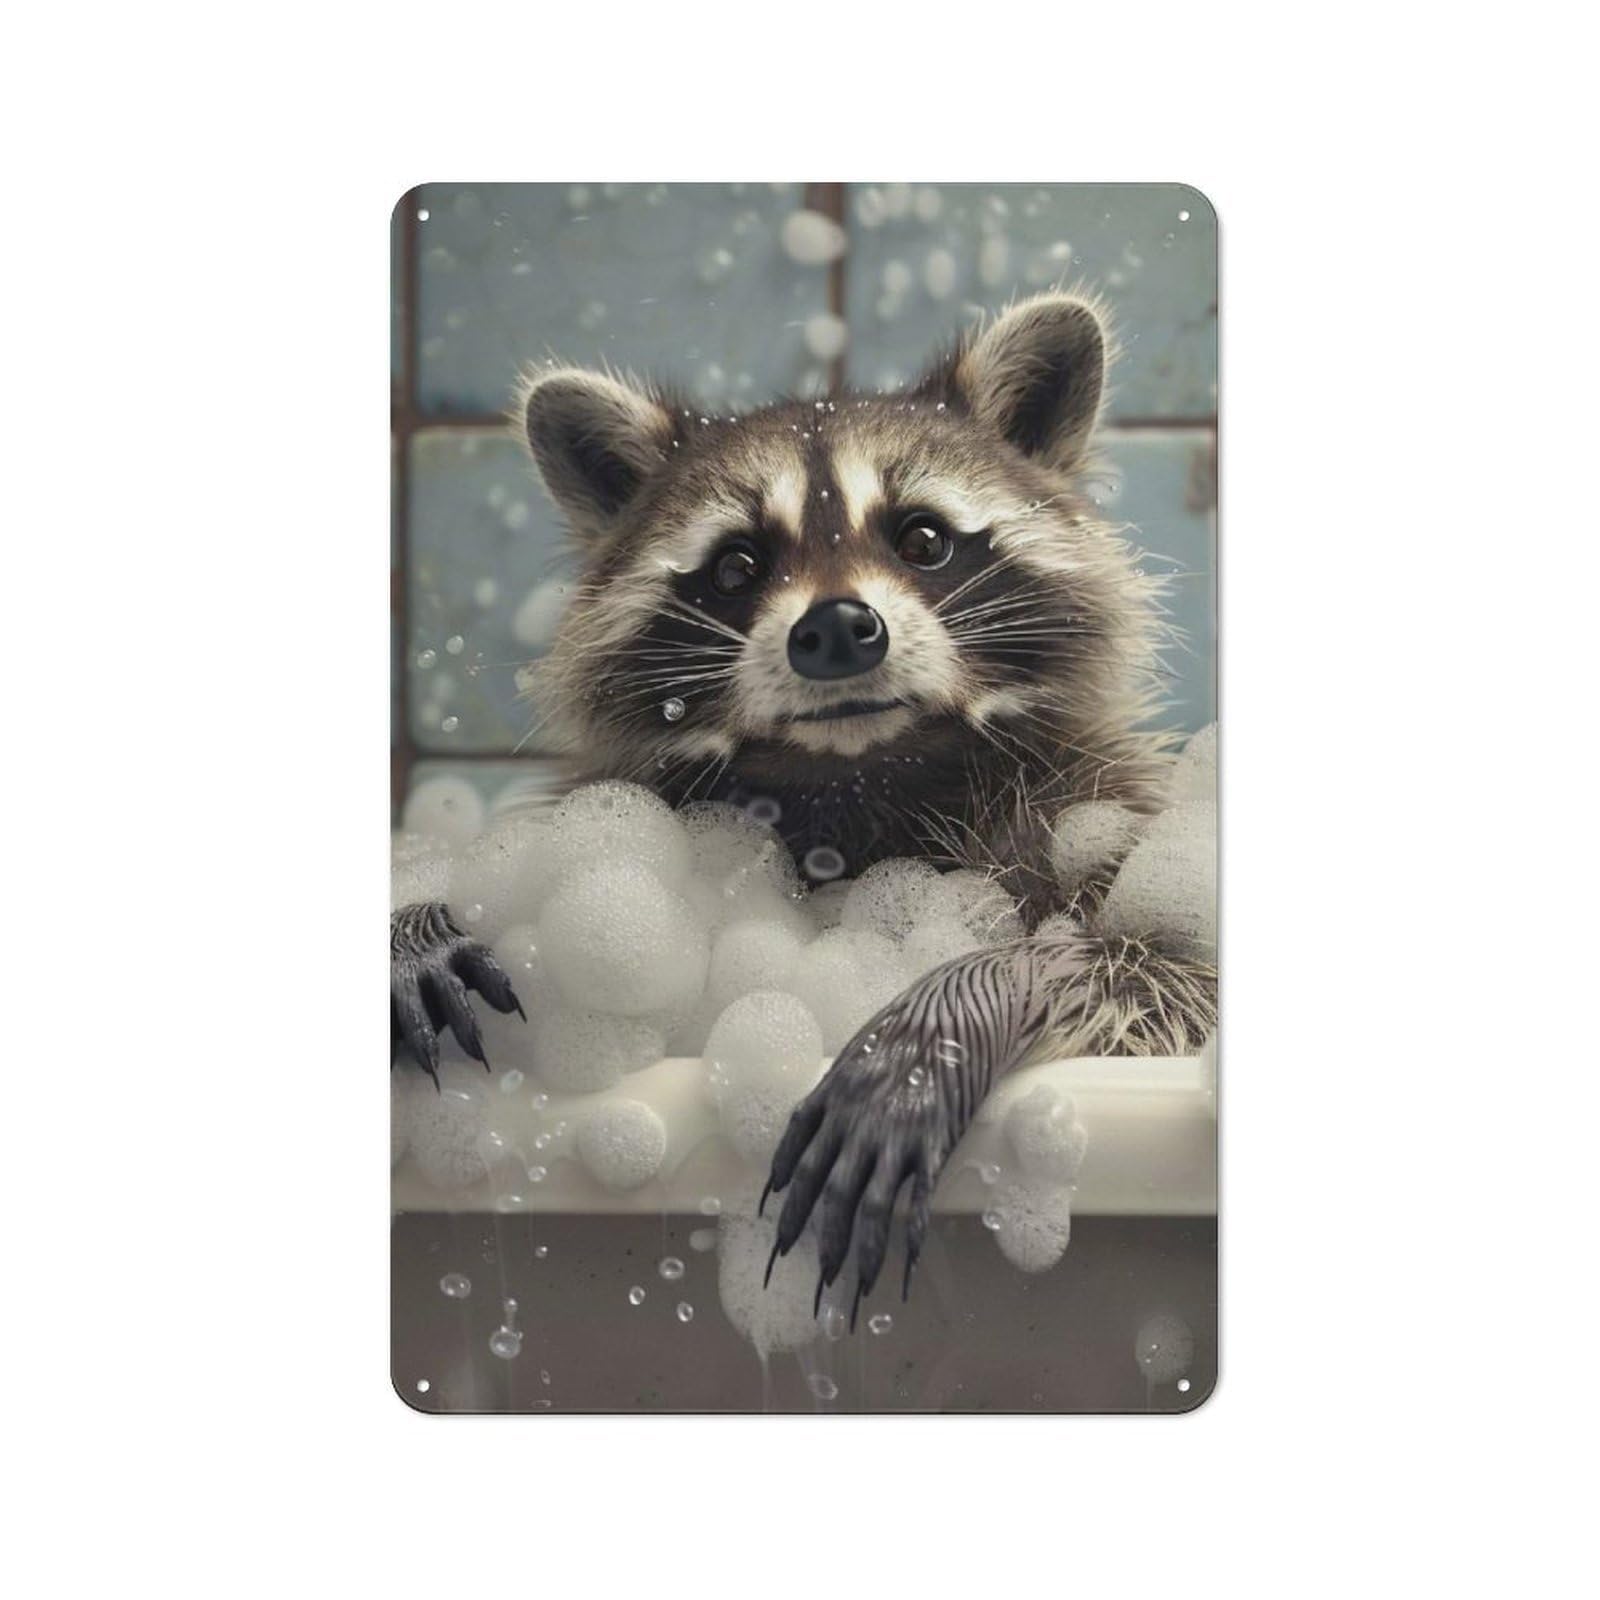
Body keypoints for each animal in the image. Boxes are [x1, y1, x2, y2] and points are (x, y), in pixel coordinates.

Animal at [391, 291, 1217, 1325]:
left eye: (923, 538)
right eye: (737, 566)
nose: (837, 629)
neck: (860, 774)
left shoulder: (1106, 808)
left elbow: (1163, 977)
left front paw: (955, 1006)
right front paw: (420, 920)